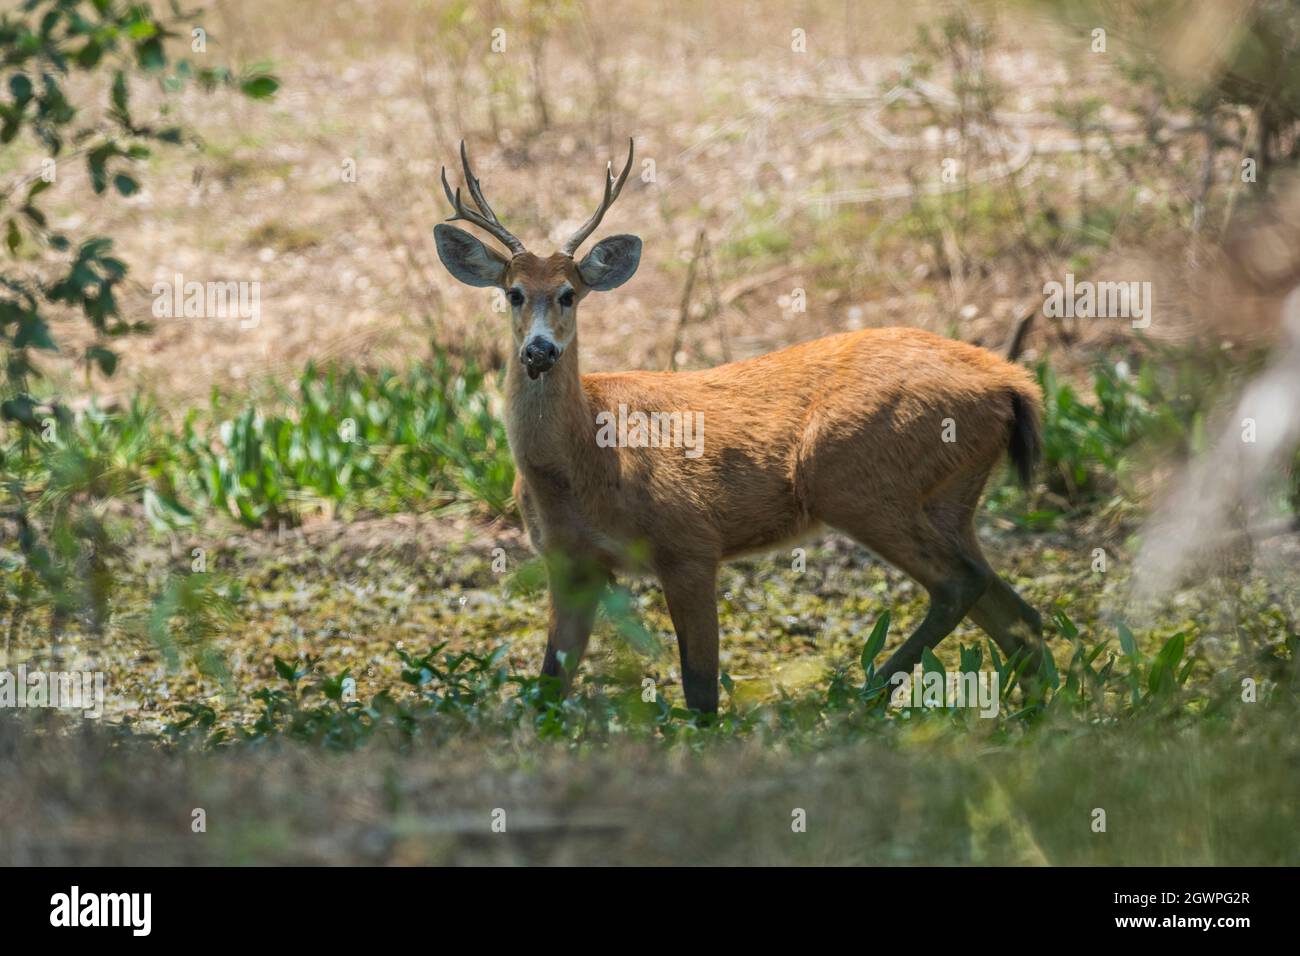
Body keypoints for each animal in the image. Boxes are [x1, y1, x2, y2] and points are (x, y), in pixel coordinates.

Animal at [434, 138, 1045, 712]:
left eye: (569, 294)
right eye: (513, 293)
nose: (539, 351)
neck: (585, 463)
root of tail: (1012, 382)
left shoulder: (689, 541)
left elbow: (701, 691)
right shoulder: (569, 563)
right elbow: (548, 687)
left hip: (856, 479)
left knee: (962, 585)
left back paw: (857, 698)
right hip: (945, 497)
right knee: (1017, 614)